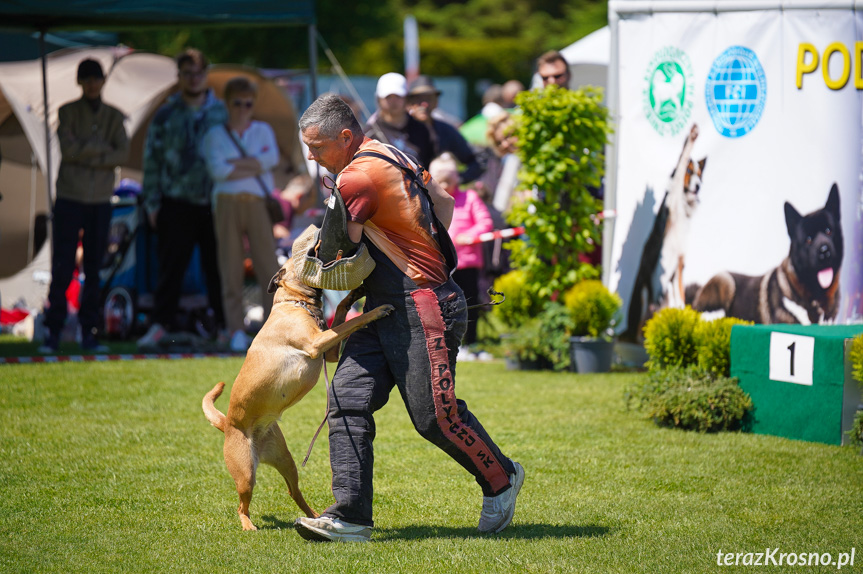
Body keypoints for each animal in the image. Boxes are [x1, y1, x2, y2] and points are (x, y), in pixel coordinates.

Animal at [202, 227, 392, 532]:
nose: (319, 236)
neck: (294, 303)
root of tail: (227, 423)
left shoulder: (328, 351)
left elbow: (341, 312)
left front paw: (355, 294)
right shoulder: (317, 344)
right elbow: (350, 322)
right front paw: (375, 311)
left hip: (286, 461)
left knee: (294, 492)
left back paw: (315, 517)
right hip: (245, 473)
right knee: (242, 505)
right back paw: (249, 525)